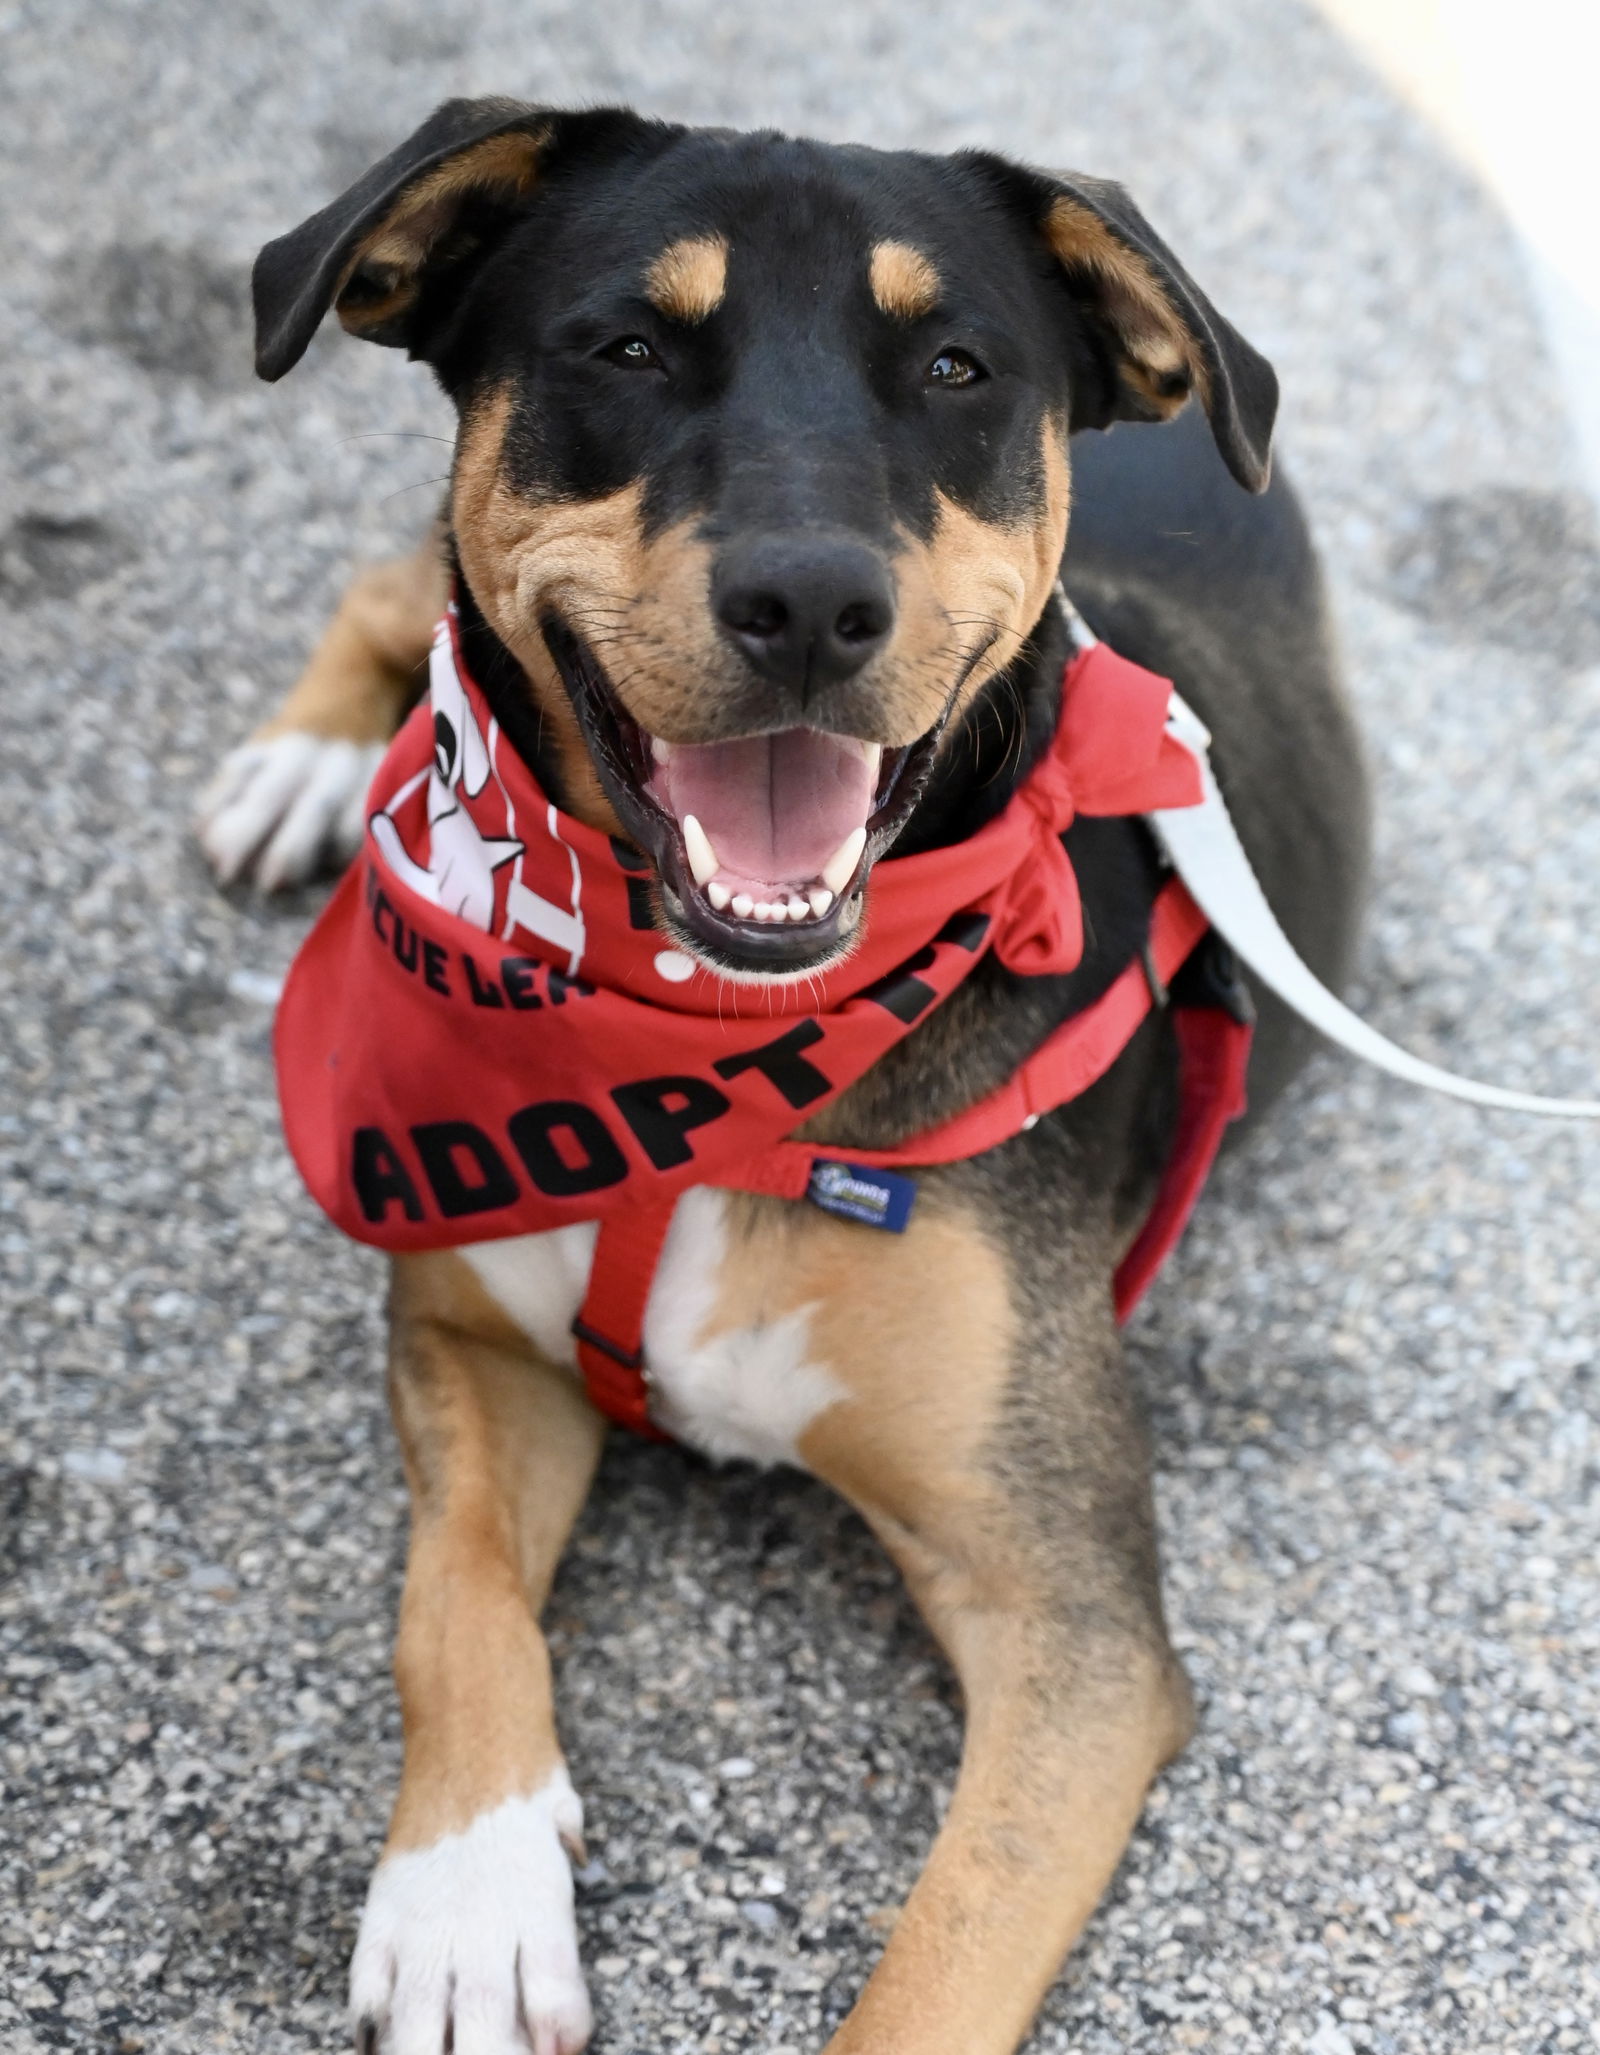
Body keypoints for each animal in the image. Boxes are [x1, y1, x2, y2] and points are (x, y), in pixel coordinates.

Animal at [200, 100, 1372, 2055]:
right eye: (627, 349)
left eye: (960, 369)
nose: (815, 601)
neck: (710, 1041)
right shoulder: (461, 1330)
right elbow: (449, 1603)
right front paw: (464, 1900)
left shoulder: (1072, 1627)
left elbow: (931, 1977)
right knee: (393, 584)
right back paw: (305, 759)